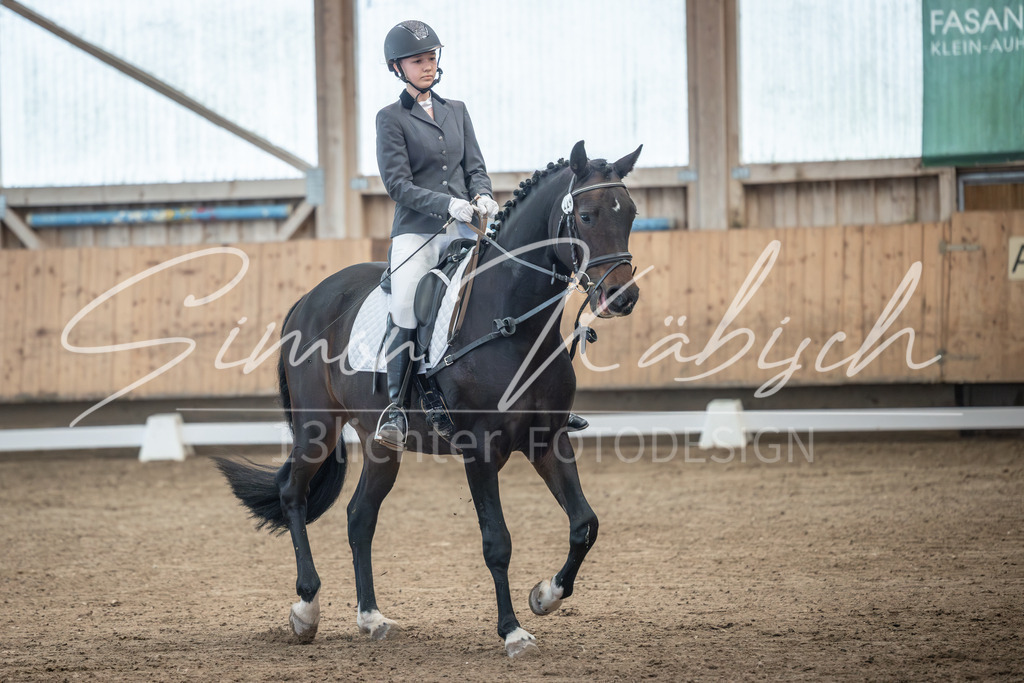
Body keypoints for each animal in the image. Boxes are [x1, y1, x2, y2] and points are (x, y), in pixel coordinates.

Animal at [216, 140, 643, 657]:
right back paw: (306, 609)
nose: (622, 297)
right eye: (585, 215)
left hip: (381, 443)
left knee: (359, 517)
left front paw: (545, 596)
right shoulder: (480, 450)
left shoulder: (548, 439)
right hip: (317, 427)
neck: (512, 323)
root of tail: (308, 299)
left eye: (631, 213)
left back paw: (372, 619)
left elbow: (584, 523)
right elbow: (497, 542)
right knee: (292, 494)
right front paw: (513, 631)